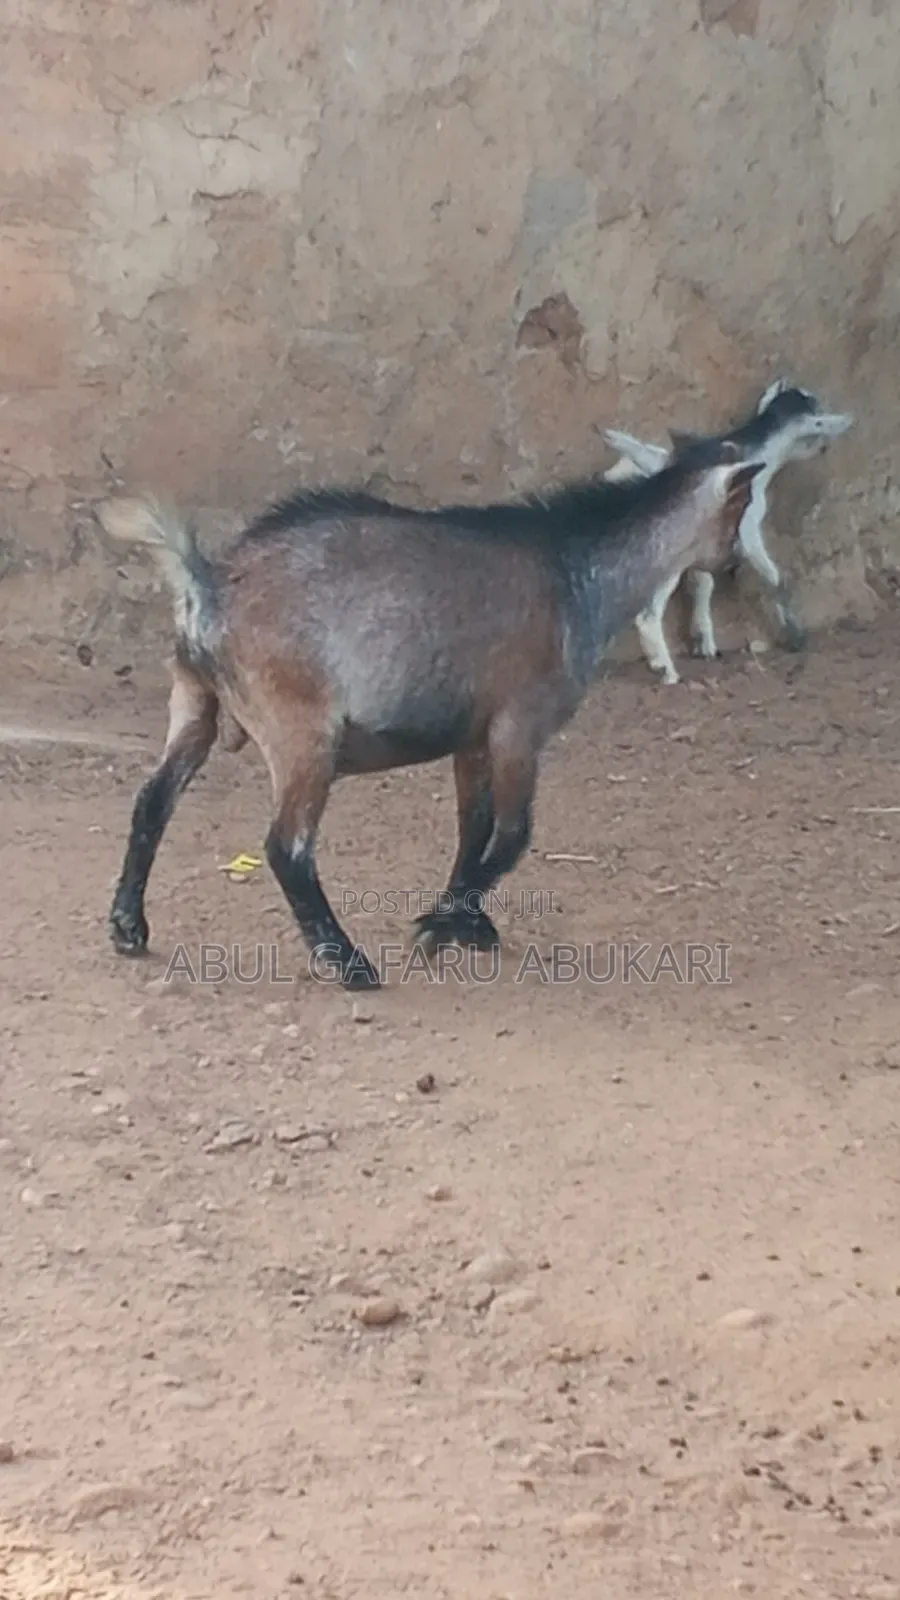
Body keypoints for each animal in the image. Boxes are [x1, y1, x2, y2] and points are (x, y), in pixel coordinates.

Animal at [94, 440, 762, 991]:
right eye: (741, 506)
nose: (732, 564)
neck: (577, 573)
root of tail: (206, 586)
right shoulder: (520, 725)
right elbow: (514, 833)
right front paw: (439, 928)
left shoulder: (473, 736)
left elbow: (474, 829)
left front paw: (469, 925)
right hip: (302, 736)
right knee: (287, 846)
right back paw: (350, 965)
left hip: (194, 703)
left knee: (152, 802)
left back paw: (129, 929)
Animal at [602, 379, 853, 685]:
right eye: (817, 412)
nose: (825, 449)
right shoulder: (747, 531)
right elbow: (775, 578)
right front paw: (796, 637)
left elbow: (703, 584)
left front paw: (705, 643)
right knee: (648, 612)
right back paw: (666, 670)